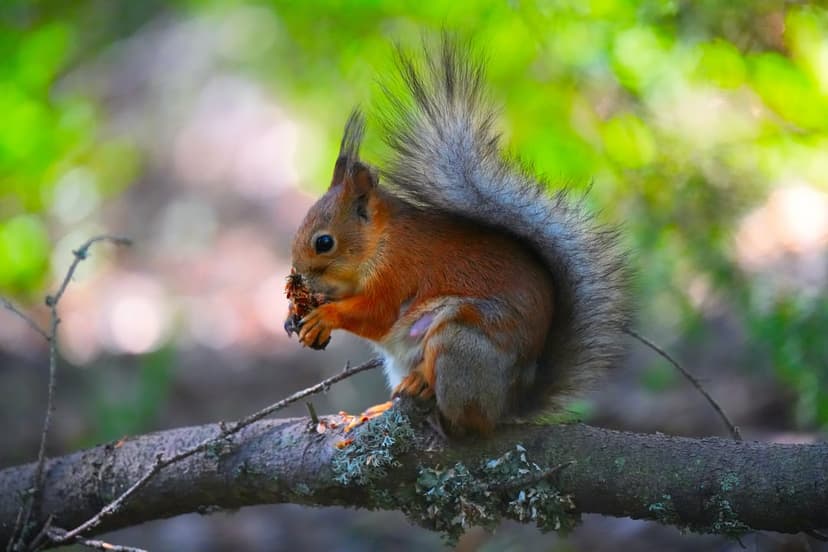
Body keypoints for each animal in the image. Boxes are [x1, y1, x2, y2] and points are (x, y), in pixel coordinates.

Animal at [284, 39, 630, 435]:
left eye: (324, 242)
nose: (299, 274)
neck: (381, 242)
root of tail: (509, 404)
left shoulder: (398, 273)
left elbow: (376, 314)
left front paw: (325, 316)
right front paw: (294, 315)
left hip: (458, 344)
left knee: (469, 421)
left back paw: (430, 396)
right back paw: (385, 406)